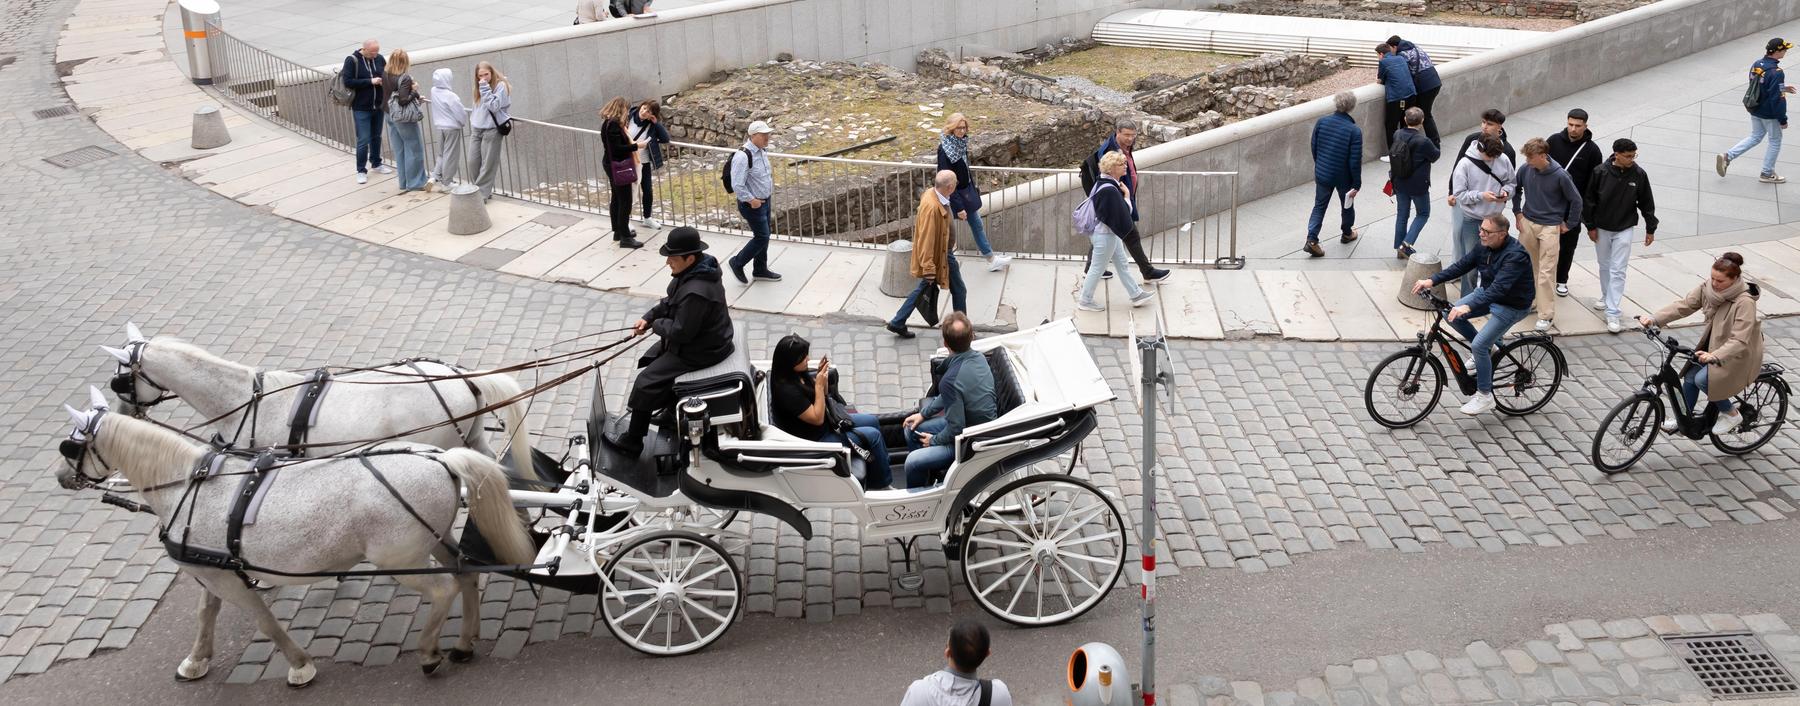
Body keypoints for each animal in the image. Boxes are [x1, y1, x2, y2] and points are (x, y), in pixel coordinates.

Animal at [58, 389, 540, 687]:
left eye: (72, 445)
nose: (62, 476)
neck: (191, 484)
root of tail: (441, 458)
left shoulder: (228, 578)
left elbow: (265, 622)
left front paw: (300, 666)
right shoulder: (212, 571)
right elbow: (205, 613)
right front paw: (196, 660)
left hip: (399, 560)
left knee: (442, 590)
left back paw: (428, 652)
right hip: (430, 540)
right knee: (465, 574)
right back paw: (462, 643)